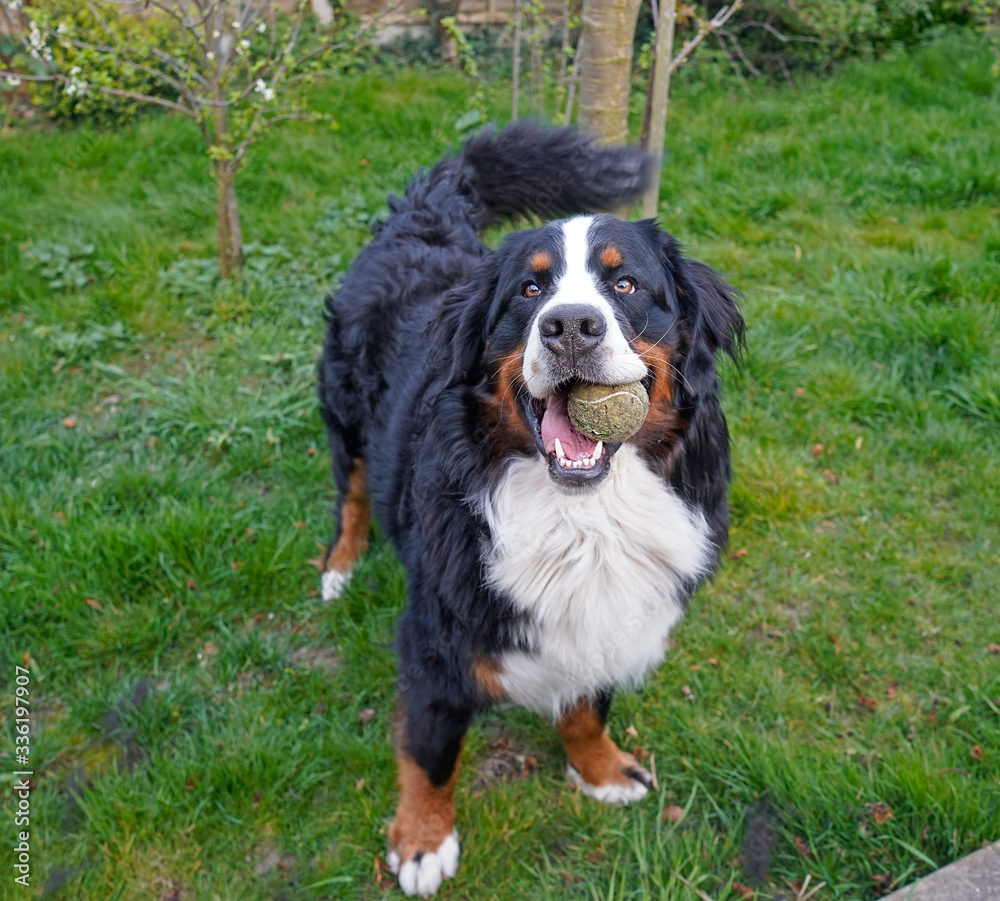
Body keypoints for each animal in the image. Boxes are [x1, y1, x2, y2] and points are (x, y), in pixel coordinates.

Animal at [318, 123, 744, 896]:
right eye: (530, 288)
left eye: (625, 284)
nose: (571, 324)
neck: (586, 519)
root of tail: (422, 215)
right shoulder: (435, 640)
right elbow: (430, 752)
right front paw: (421, 842)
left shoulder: (606, 617)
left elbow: (587, 706)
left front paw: (600, 769)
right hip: (346, 421)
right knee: (354, 491)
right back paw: (339, 565)